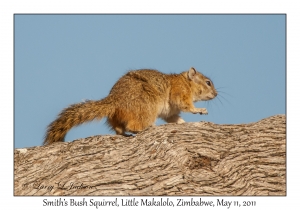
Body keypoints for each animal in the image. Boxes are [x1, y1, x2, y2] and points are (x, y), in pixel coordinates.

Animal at [43, 67, 217, 144]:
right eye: (208, 82)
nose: (216, 94)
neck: (186, 82)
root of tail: (114, 100)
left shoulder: (170, 112)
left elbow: (174, 118)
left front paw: (182, 123)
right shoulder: (179, 93)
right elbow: (186, 105)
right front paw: (200, 110)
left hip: (116, 118)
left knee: (119, 129)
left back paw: (124, 134)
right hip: (146, 106)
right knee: (134, 125)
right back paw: (147, 127)